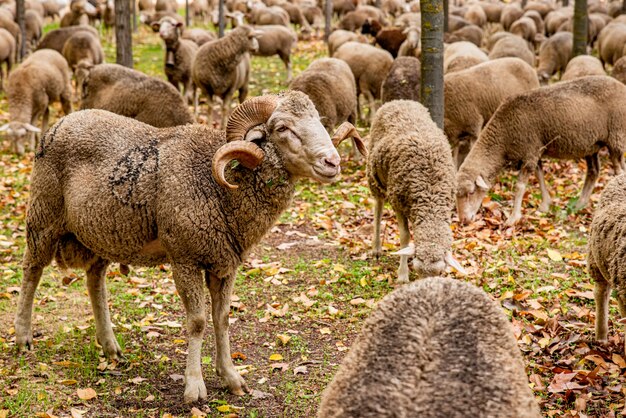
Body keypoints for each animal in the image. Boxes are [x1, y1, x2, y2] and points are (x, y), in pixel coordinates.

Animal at [14, 92, 364, 404]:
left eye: (318, 120)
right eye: (282, 128)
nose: (332, 162)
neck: (221, 186)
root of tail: (63, 120)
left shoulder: (225, 262)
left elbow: (222, 318)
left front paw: (232, 378)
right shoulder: (185, 258)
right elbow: (197, 322)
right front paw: (194, 387)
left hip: (103, 233)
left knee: (94, 280)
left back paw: (111, 347)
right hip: (43, 216)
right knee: (31, 271)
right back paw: (23, 339)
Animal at [366, 100, 458, 282]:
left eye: (439, 272)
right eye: (417, 270)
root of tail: (398, 101)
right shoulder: (398, 202)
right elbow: (405, 237)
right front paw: (402, 275)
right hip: (374, 176)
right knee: (378, 207)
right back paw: (376, 248)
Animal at [454, 75, 624, 225]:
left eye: (471, 192)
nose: (463, 221)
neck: (503, 138)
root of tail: (621, 85)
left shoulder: (530, 152)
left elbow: (520, 186)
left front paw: (513, 218)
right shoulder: (535, 150)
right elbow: (539, 175)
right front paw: (545, 205)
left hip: (616, 137)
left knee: (619, 170)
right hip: (591, 145)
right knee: (594, 171)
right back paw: (579, 205)